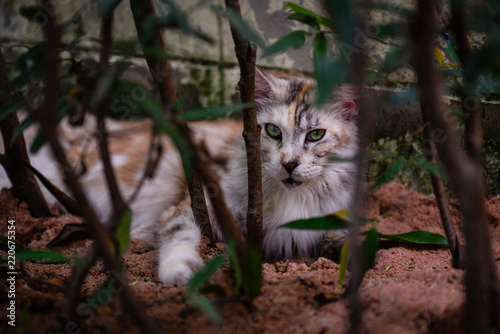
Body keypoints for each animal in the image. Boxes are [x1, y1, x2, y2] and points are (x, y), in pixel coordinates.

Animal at [0, 68, 360, 284]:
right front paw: (181, 271)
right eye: (272, 131)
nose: (289, 164)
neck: (289, 199)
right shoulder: (194, 207)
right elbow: (181, 237)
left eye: (315, 135)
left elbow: (344, 240)